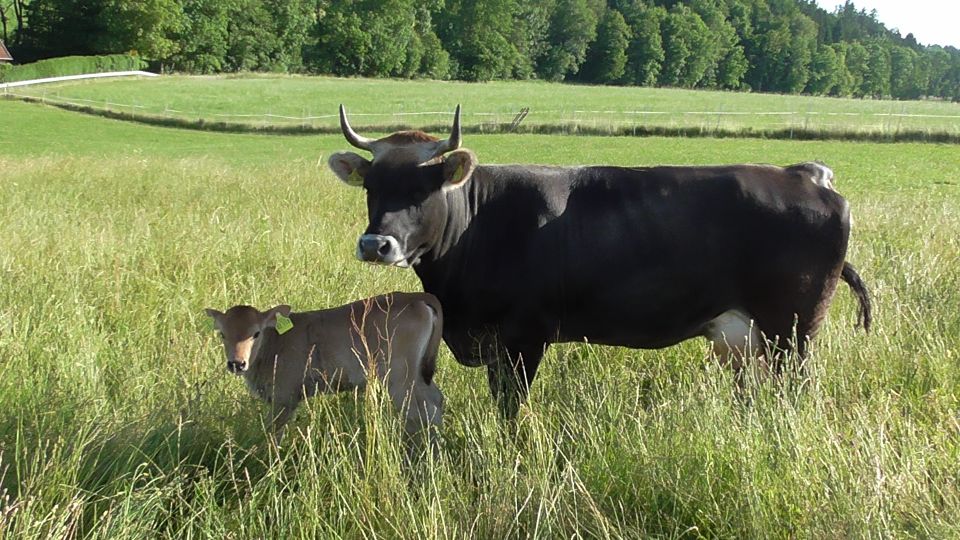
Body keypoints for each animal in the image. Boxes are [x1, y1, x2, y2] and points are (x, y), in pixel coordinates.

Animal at [204, 294, 444, 440]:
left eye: (256, 333)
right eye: (222, 334)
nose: (237, 363)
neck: (274, 343)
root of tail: (414, 298)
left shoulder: (284, 399)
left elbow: (273, 435)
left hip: (400, 380)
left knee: (422, 413)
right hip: (418, 377)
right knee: (436, 402)